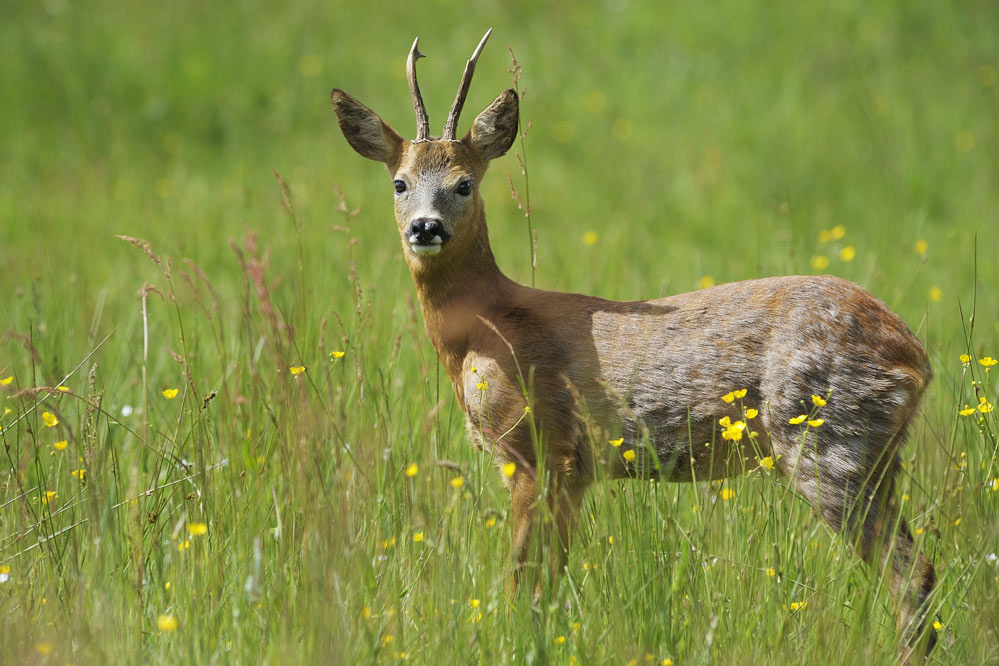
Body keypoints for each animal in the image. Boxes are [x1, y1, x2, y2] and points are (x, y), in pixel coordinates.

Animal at [328, 28, 936, 656]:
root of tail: (913, 353)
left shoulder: (541, 447)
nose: (425, 227)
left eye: (464, 183)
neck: (485, 328)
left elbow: (523, 585)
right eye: (399, 182)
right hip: (874, 454)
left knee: (910, 574)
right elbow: (548, 586)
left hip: (827, 438)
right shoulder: (575, 472)